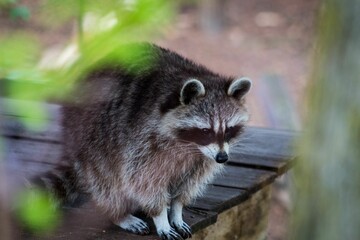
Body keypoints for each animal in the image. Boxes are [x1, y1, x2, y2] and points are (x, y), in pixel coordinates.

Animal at [55, 44, 250, 239]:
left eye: (229, 130)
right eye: (205, 131)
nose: (222, 158)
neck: (189, 146)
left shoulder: (203, 157)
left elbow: (188, 183)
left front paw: (177, 209)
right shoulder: (142, 139)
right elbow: (143, 180)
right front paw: (160, 217)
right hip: (90, 137)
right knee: (107, 181)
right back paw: (119, 214)